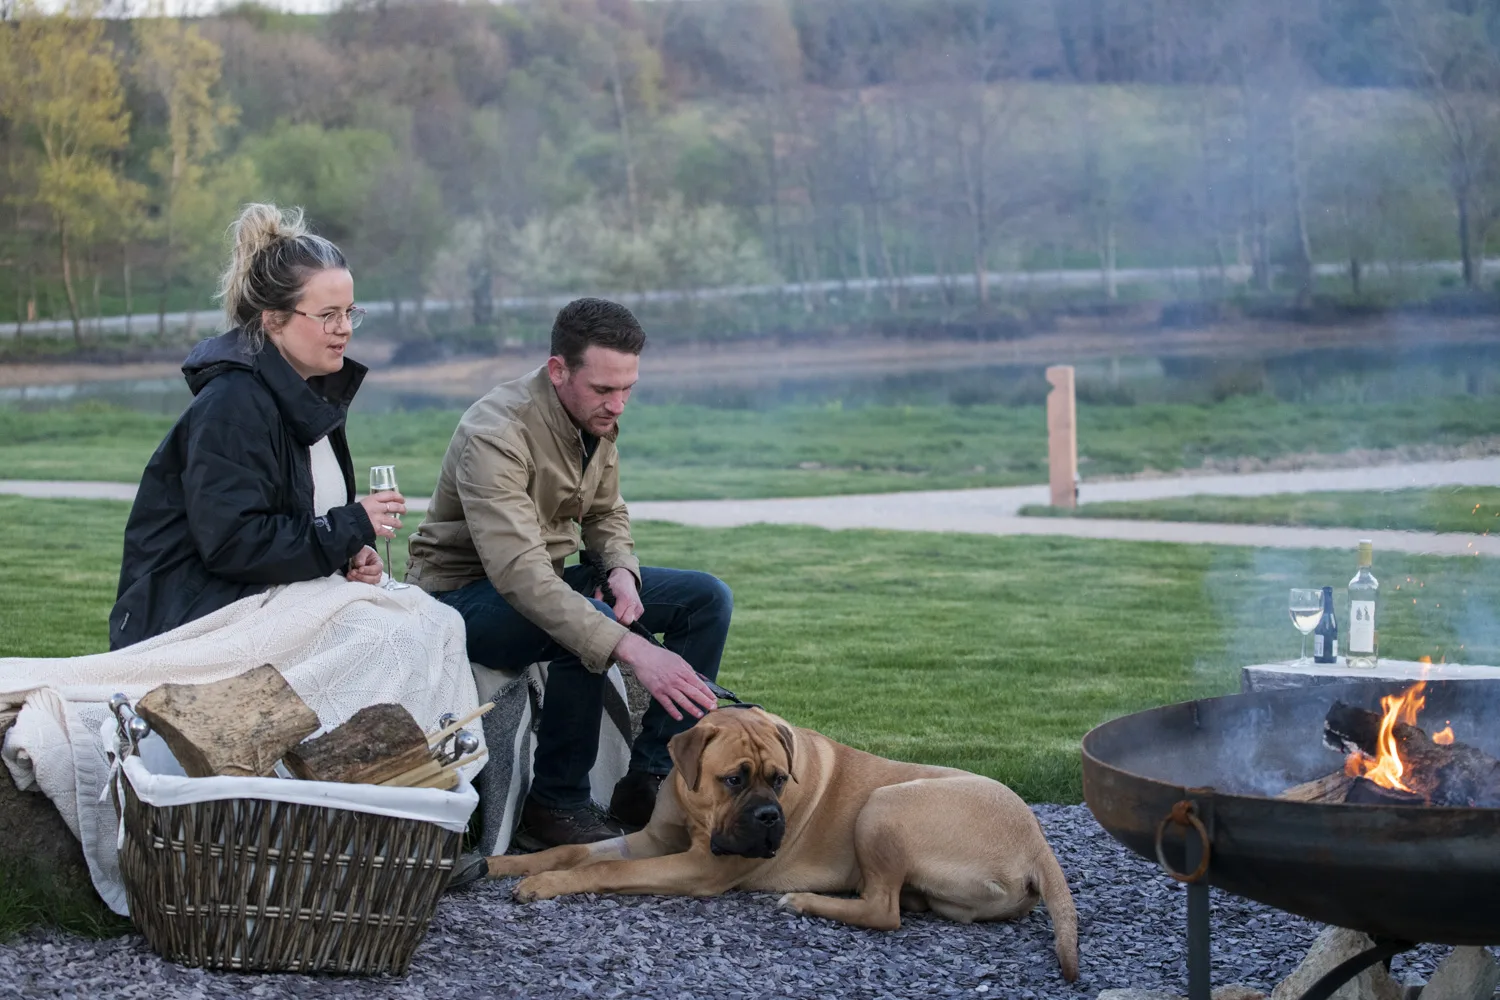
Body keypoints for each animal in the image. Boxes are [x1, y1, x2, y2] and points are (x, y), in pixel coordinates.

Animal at [485, 706, 1079, 981]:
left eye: (778, 779)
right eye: (733, 779)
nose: (771, 817)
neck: (699, 815)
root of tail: (1037, 841)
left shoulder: (699, 868)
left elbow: (605, 871)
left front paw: (544, 884)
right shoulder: (652, 840)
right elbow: (575, 852)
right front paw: (506, 863)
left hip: (884, 804)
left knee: (883, 911)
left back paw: (806, 901)